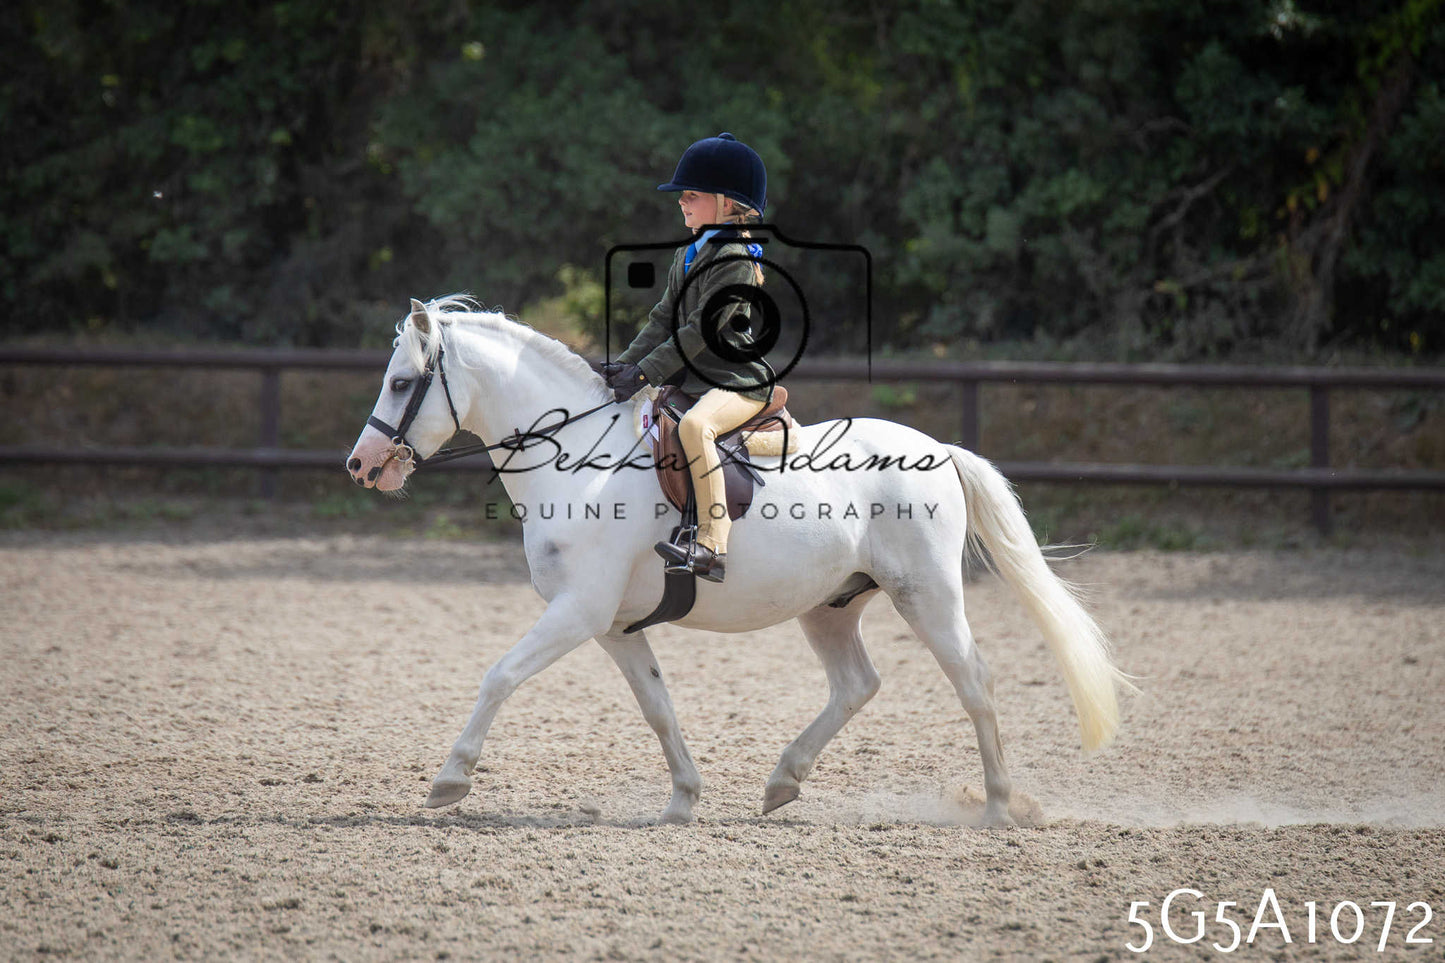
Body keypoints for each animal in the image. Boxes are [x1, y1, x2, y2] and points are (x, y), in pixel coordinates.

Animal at [346, 297, 1130, 826]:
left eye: (400, 382)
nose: (361, 465)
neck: (579, 463)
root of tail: (936, 448)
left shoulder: (578, 612)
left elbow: (499, 675)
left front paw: (449, 780)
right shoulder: (612, 626)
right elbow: (657, 706)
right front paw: (682, 799)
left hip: (927, 595)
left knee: (974, 682)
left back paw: (997, 806)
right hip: (830, 605)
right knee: (857, 684)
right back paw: (783, 781)